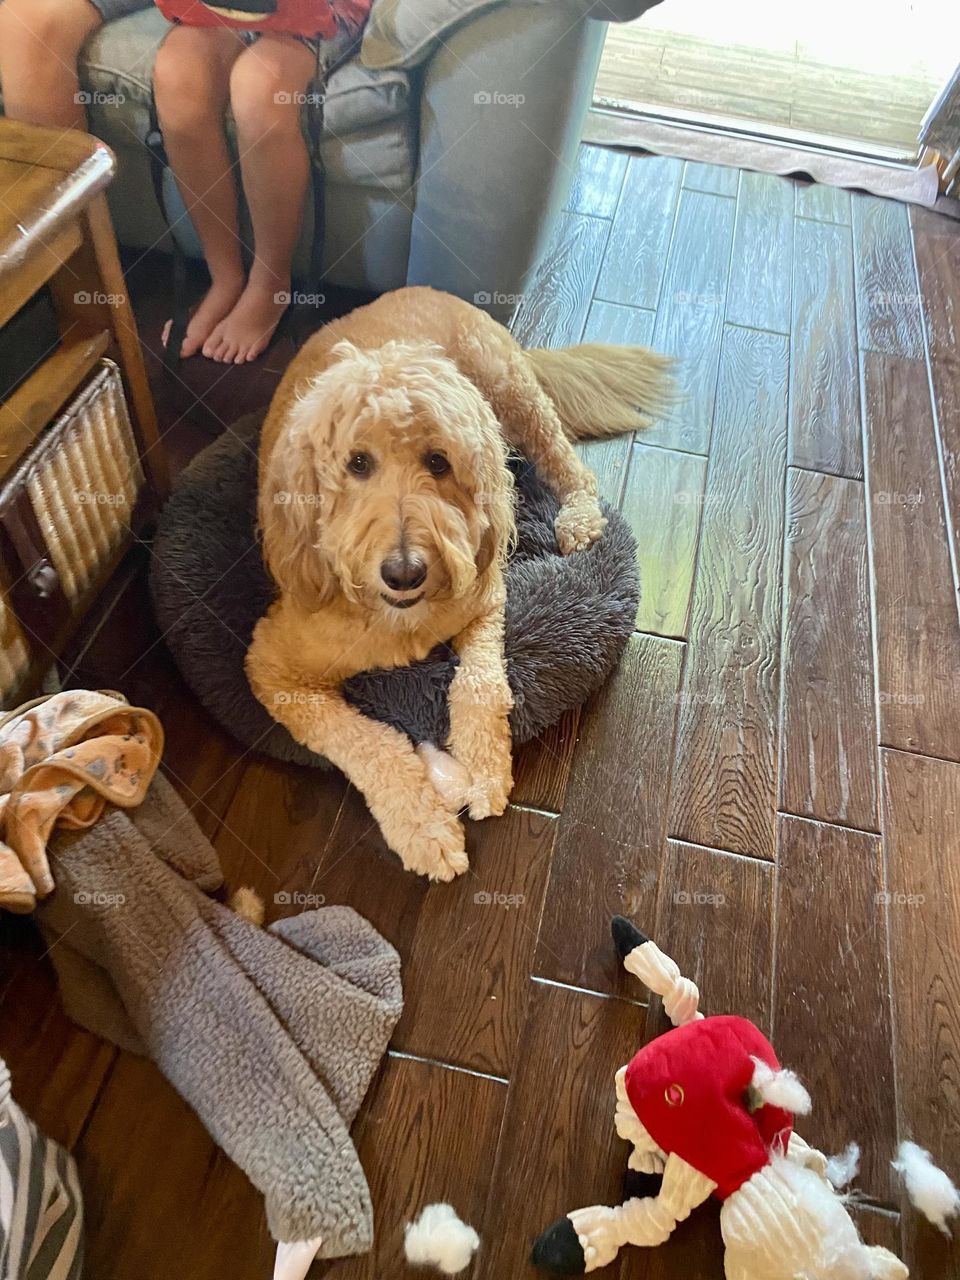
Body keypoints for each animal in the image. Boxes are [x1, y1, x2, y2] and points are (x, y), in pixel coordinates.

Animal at [248, 289, 670, 880]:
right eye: (357, 463)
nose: (405, 571)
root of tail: (429, 292)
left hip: (512, 394)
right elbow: (367, 742)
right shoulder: (273, 668)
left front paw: (486, 769)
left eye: (438, 461)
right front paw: (424, 827)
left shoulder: (485, 596)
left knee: (567, 462)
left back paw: (580, 518)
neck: (399, 618)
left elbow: (481, 684)